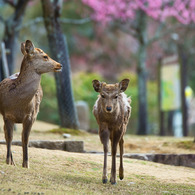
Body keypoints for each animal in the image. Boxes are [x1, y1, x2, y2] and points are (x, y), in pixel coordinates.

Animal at [0, 39, 61, 168]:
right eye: (45, 56)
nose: (59, 65)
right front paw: (8, 161)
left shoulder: (31, 116)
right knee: (6, 134)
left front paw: (26, 164)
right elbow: (10, 137)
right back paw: (11, 161)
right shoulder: (7, 115)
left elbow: (25, 139)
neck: (18, 104)